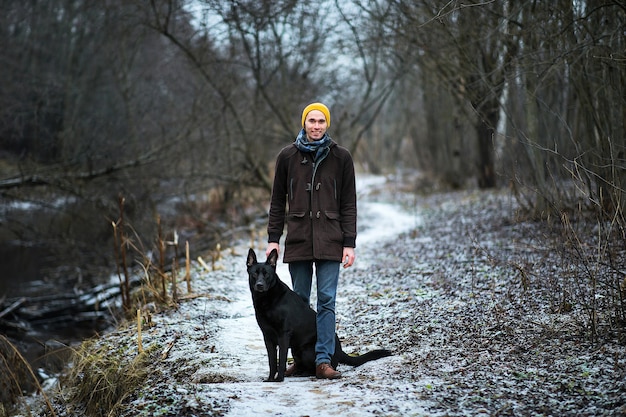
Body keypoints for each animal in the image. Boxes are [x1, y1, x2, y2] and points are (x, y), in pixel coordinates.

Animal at [245, 247, 388, 380]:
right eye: (254, 274)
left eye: (267, 274)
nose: (259, 285)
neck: (267, 298)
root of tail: (341, 351)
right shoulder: (267, 337)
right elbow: (272, 361)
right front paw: (270, 379)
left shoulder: (283, 335)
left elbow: (281, 360)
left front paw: (279, 379)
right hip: (296, 350)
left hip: (306, 350)